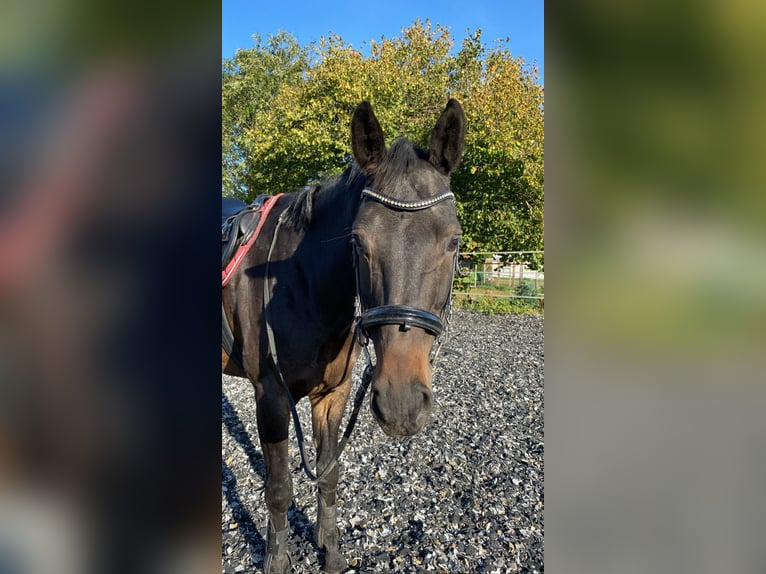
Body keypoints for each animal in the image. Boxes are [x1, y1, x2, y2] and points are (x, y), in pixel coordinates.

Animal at [222, 97, 468, 572]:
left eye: (453, 242)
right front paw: (277, 558)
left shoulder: (333, 393)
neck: (299, 285)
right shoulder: (271, 397)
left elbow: (328, 474)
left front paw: (330, 551)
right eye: (357, 242)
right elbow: (279, 488)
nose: (401, 405)